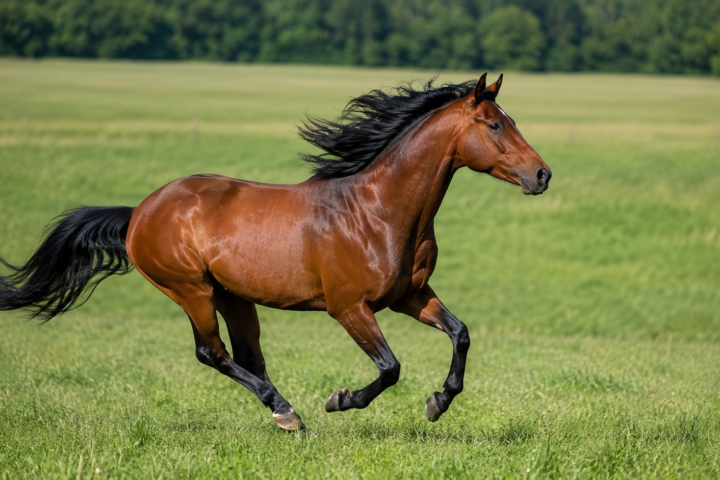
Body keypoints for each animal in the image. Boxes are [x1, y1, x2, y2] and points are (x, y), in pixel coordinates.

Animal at [0, 73, 551, 433]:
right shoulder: (348, 308)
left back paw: (283, 412)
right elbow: (390, 367)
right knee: (212, 352)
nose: (543, 175)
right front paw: (340, 400)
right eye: (495, 125)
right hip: (191, 290)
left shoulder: (409, 296)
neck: (378, 211)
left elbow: (460, 334)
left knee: (246, 355)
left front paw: (438, 402)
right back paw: (288, 412)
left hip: (233, 295)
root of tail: (139, 212)